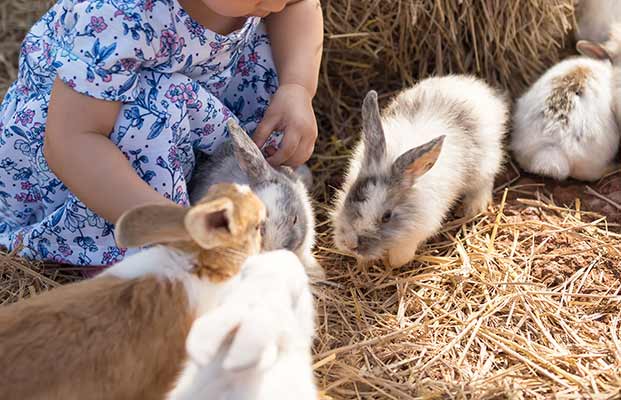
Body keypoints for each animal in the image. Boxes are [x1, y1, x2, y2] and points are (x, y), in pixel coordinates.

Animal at [332, 76, 506, 268]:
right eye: (349, 198)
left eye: (387, 216)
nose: (350, 244)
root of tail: (481, 90)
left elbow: (402, 254)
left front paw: (394, 263)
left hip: (485, 164)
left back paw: (473, 207)